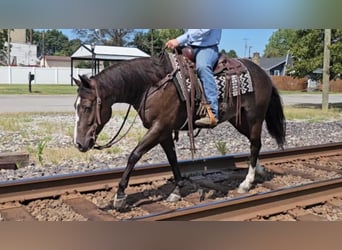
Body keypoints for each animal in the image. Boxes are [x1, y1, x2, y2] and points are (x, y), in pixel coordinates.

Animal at [73, 51, 288, 210]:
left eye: (87, 107)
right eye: (76, 106)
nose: (79, 143)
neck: (152, 85)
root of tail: (265, 74)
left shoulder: (159, 127)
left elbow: (134, 155)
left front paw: (120, 196)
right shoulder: (164, 131)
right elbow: (172, 159)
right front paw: (176, 191)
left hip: (254, 117)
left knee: (255, 144)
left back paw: (246, 182)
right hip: (239, 119)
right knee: (255, 144)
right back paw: (258, 170)